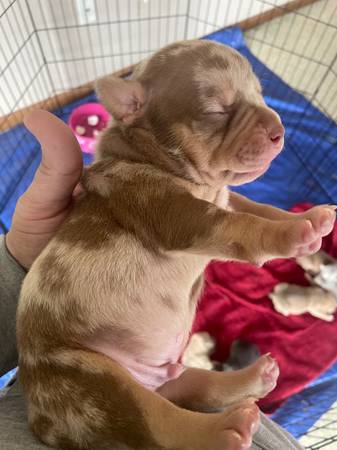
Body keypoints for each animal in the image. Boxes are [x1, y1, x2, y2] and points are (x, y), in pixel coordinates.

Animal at [17, 39, 334, 450]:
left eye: (260, 94)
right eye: (218, 110)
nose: (279, 129)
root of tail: (40, 419)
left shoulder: (226, 198)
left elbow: (260, 207)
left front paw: (311, 219)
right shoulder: (181, 217)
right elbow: (244, 225)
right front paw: (295, 235)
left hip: (163, 374)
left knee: (191, 388)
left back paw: (253, 378)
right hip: (91, 379)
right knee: (159, 425)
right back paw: (226, 429)